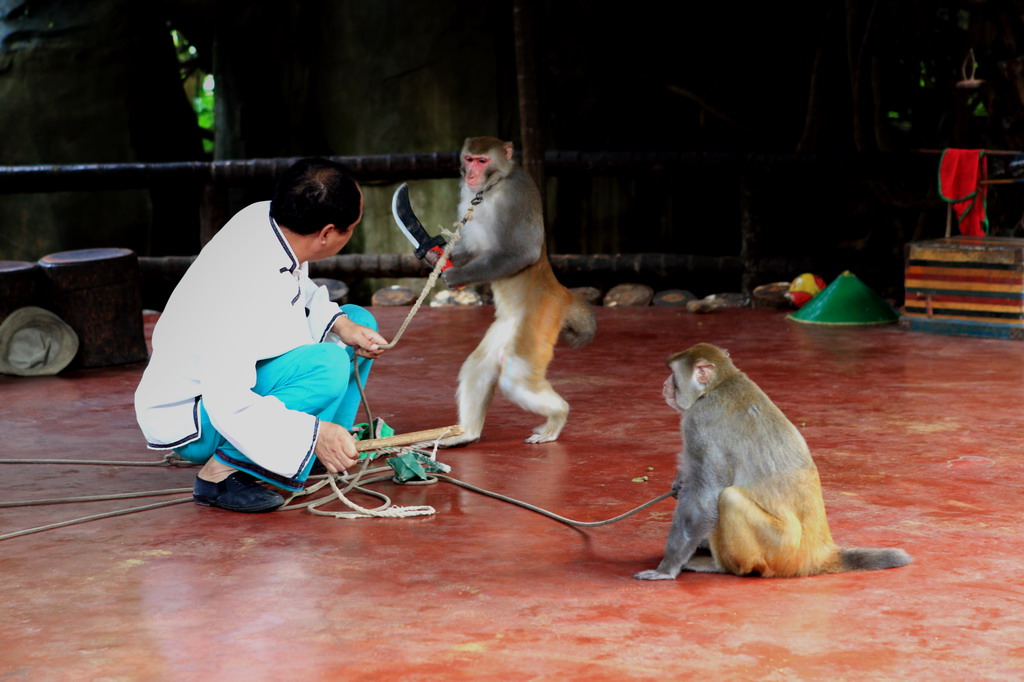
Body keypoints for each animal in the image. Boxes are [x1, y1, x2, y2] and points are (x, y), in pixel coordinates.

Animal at [436, 137, 598, 446]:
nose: (471, 174)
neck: (493, 184)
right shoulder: (467, 194)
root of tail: (561, 292)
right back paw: (468, 434)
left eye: (483, 161)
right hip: (509, 326)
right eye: (469, 158)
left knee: (516, 377)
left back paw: (558, 417)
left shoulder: (516, 193)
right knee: (479, 366)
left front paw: (453, 276)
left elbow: (524, 252)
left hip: (541, 317)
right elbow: (471, 247)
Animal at [630, 342, 913, 577]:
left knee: (729, 498)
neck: (720, 383)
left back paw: (723, 567)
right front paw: (679, 484)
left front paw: (667, 568)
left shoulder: (698, 422)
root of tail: (816, 552)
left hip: (779, 550)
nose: (664, 385)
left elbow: (704, 497)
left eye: (672, 373)